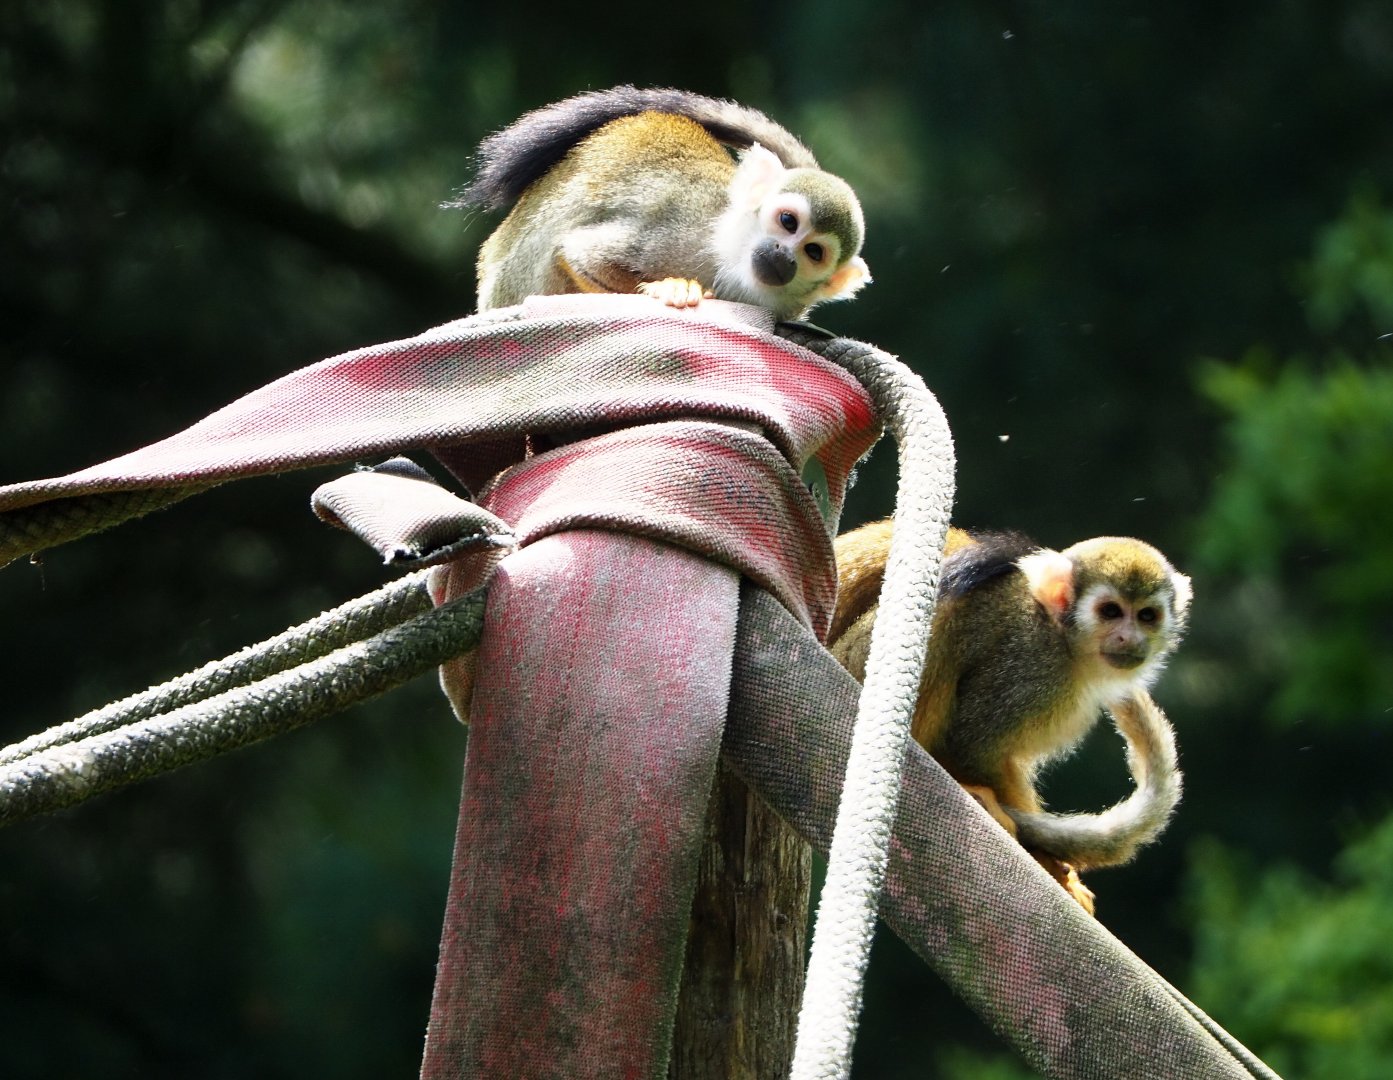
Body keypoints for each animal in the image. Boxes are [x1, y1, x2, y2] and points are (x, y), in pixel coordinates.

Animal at [456, 86, 871, 320]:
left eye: (814, 253)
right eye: (787, 222)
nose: (784, 256)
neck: (726, 254)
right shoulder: (679, 230)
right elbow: (580, 254)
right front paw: (669, 289)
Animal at [829, 521, 1192, 913]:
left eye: (1146, 616)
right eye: (1110, 611)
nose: (1129, 638)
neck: (1062, 637)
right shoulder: (1032, 670)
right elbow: (972, 745)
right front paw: (1046, 861)